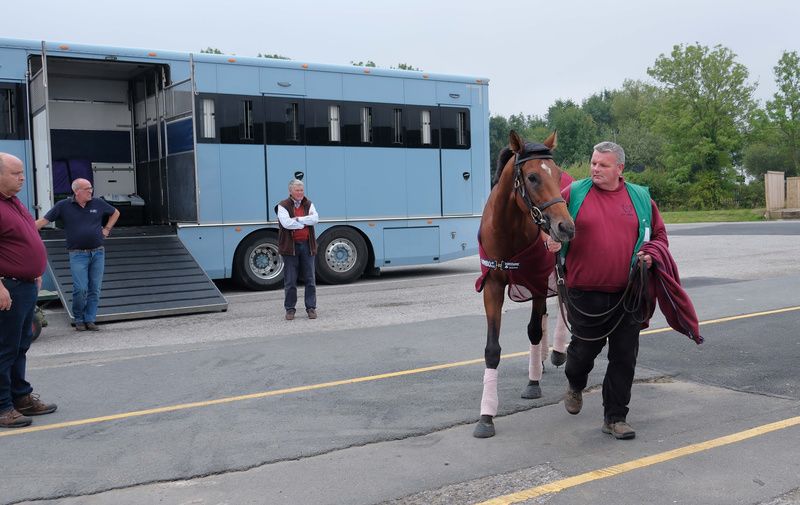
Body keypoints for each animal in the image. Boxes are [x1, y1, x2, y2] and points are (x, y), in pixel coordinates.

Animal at [472, 130, 572, 438]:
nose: (565, 226)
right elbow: (492, 349)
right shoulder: (492, 285)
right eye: (532, 177)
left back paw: (557, 352)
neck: (508, 230)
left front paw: (533, 383)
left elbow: (533, 330)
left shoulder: (538, 281)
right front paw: (486, 415)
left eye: (557, 173)